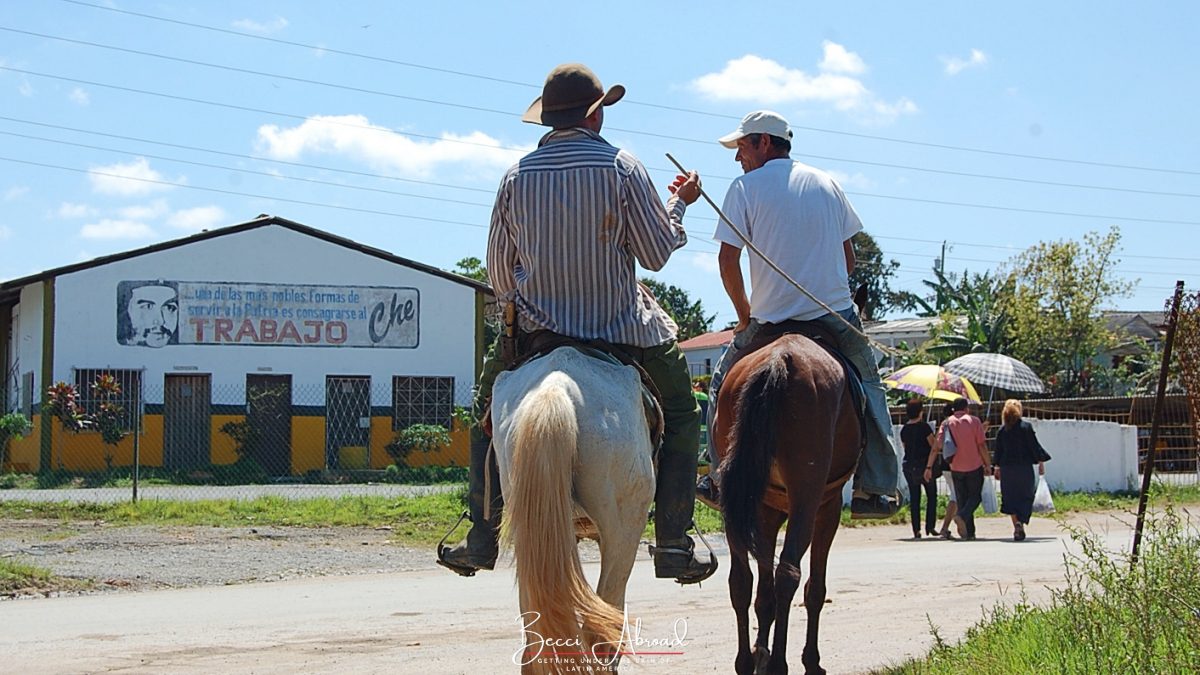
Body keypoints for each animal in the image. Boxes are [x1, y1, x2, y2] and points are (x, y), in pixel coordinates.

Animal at [710, 331, 864, 672]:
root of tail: (780, 358)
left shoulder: (764, 514)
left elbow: (763, 595)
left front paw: (760, 652)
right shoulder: (828, 508)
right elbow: (815, 589)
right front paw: (810, 660)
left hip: (735, 507)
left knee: (741, 580)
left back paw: (745, 662)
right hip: (807, 497)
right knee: (789, 575)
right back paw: (781, 663)